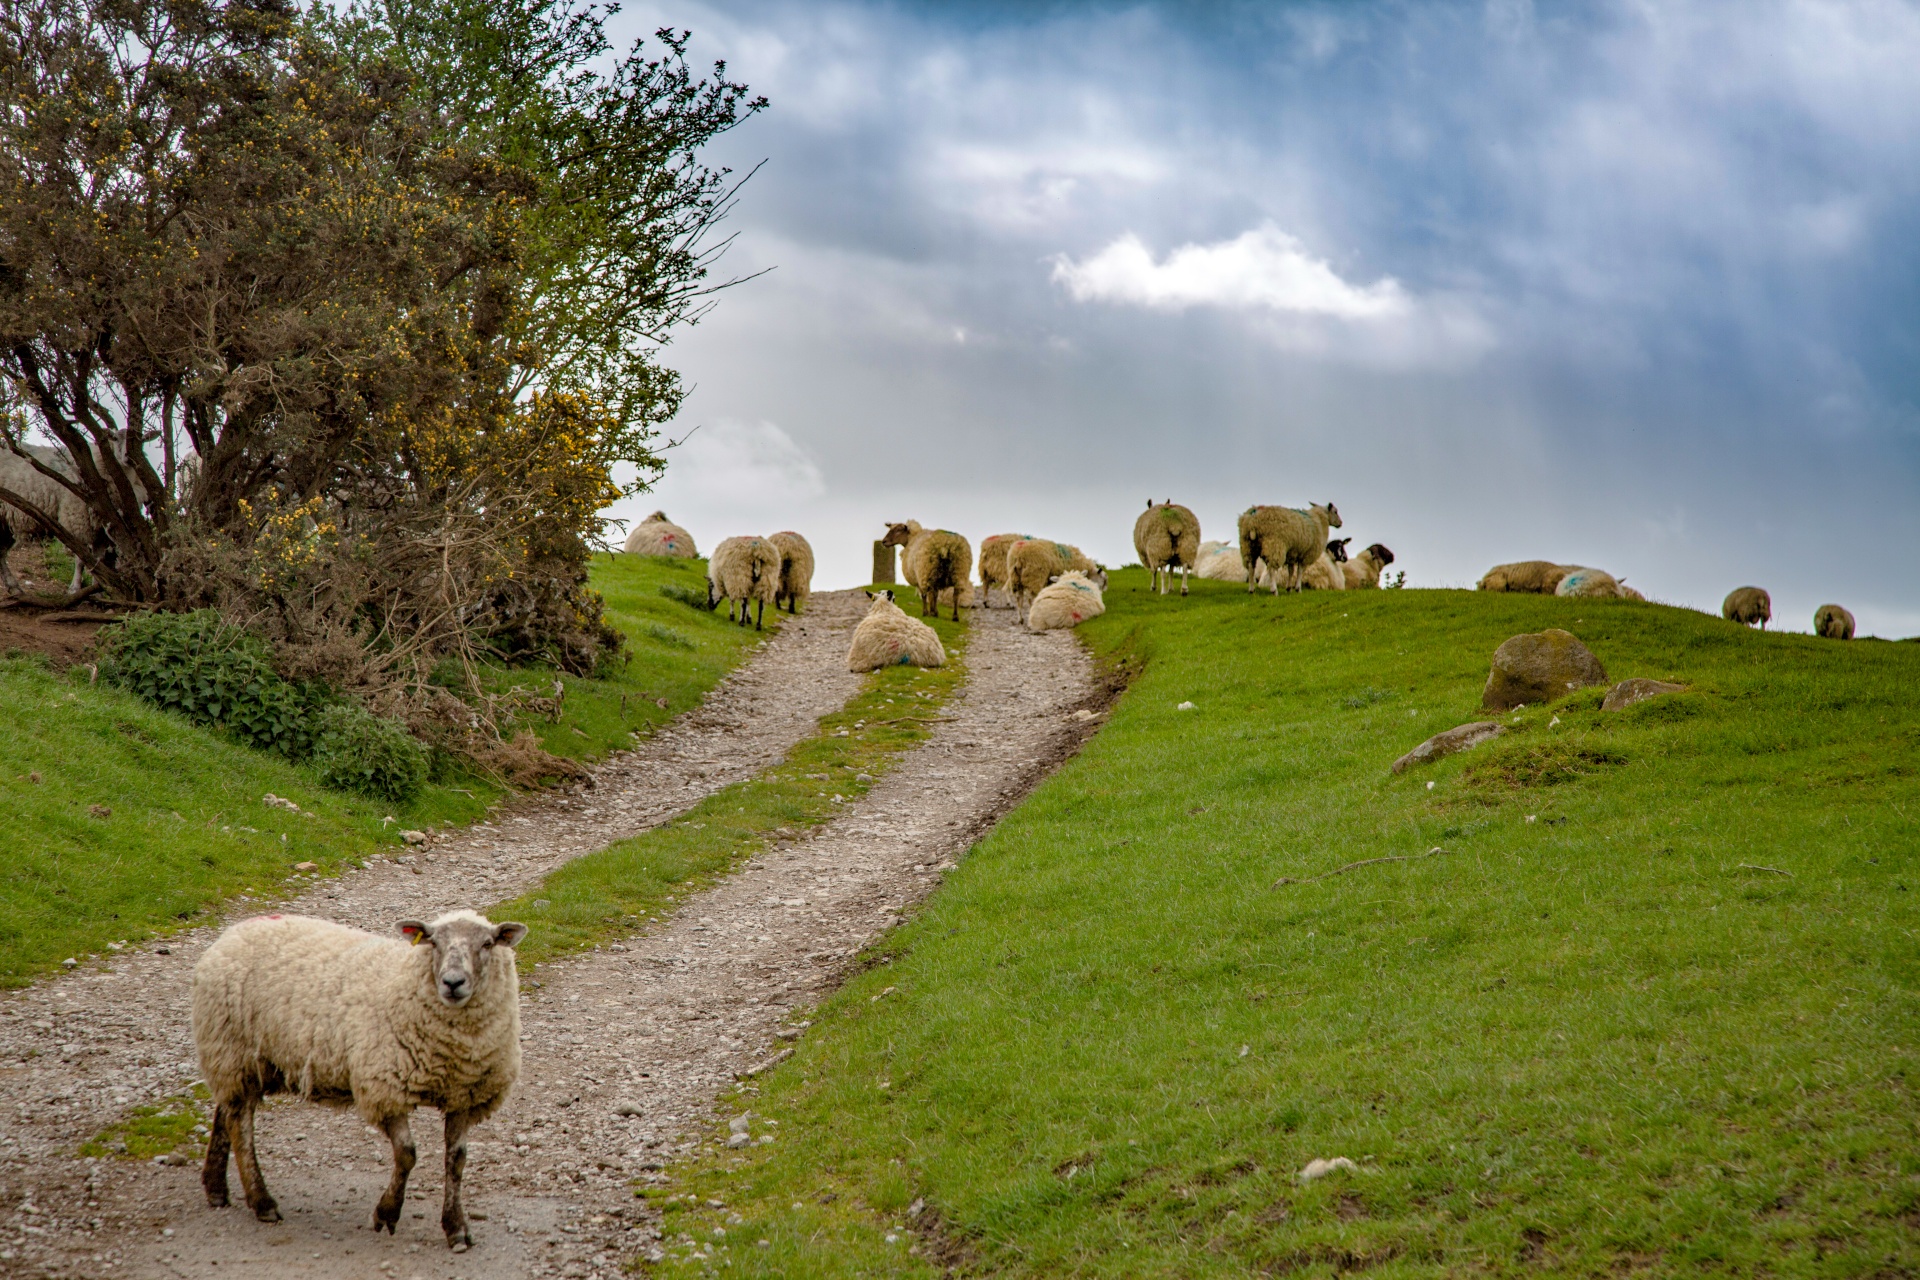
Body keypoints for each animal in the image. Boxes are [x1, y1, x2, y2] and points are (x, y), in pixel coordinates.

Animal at [192, 909, 529, 1251]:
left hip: (244, 1060)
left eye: (487, 944)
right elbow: (406, 1153)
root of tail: (234, 932)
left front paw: (456, 1227)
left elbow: (456, 1161)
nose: (452, 983)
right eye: (433, 942)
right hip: (233, 1048)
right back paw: (262, 1202)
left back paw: (216, 1188)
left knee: (226, 1111)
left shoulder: (464, 1097)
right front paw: (387, 1213)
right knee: (240, 1124)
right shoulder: (384, 1087)